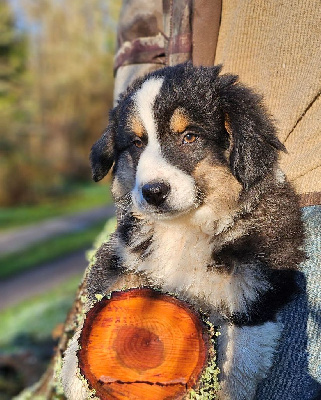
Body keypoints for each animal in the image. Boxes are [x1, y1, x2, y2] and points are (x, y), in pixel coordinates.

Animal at [62, 64, 302, 398]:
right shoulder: (122, 253)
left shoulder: (257, 283)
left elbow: (241, 358)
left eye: (189, 137)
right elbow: (99, 301)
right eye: (137, 143)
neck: (185, 227)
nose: (153, 192)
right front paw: (75, 378)